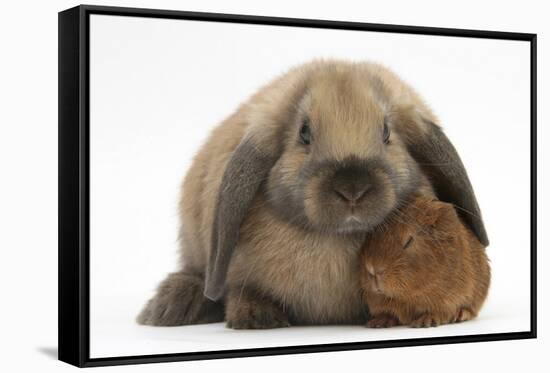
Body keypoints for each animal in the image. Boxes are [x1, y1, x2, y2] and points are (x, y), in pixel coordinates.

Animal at [136, 58, 490, 328]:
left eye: (387, 132)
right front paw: (256, 317)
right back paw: (169, 307)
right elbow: (241, 289)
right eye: (304, 133)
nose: (352, 188)